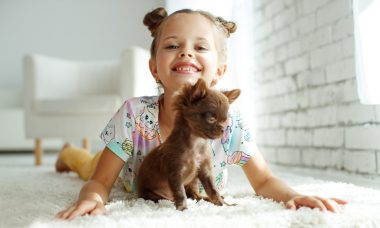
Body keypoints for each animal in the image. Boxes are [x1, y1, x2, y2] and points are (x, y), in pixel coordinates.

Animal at [136, 78, 240, 210]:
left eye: (225, 120)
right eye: (211, 119)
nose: (223, 129)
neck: (197, 142)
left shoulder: (205, 171)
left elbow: (213, 190)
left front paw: (223, 204)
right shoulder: (175, 173)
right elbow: (180, 193)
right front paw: (182, 208)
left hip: (192, 181)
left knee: (195, 196)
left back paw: (206, 199)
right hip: (151, 194)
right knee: (164, 198)